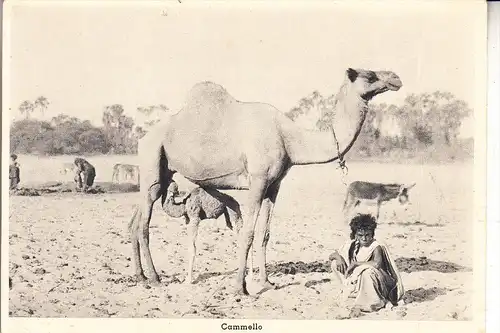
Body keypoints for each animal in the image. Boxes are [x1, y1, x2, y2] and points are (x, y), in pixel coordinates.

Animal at [129, 66, 402, 294]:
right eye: (370, 75)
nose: (396, 78)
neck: (289, 139)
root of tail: (143, 138)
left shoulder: (274, 185)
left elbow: (265, 233)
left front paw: (266, 282)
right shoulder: (257, 181)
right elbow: (248, 233)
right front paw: (240, 288)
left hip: (162, 173)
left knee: (134, 220)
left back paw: (140, 277)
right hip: (153, 160)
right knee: (143, 223)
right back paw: (155, 278)